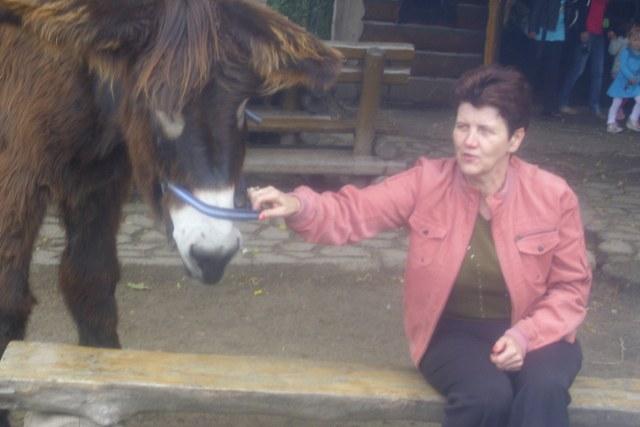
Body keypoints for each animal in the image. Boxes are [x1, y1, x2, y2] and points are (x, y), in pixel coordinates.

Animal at [0, 1, 340, 423]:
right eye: (158, 106)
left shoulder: (99, 180)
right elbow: (9, 299)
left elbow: (90, 282)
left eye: (244, 106)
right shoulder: (16, 175)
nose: (214, 256)